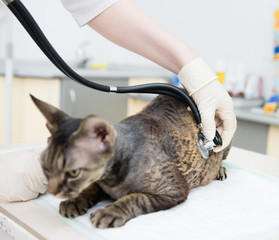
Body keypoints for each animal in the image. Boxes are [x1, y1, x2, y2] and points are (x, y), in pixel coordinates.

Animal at [30, 94, 232, 229]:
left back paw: (220, 170)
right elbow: (90, 188)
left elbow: (136, 198)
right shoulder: (101, 183)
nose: (51, 190)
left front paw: (111, 211)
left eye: (73, 172)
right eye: (45, 167)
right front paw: (76, 200)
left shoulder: (175, 188)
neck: (112, 179)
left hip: (224, 140)